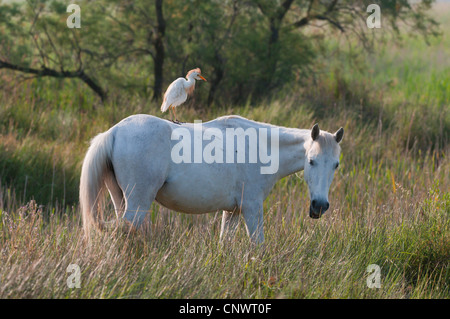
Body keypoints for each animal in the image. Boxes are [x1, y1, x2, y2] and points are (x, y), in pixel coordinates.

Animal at [79, 116, 342, 244]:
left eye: (336, 165)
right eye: (311, 161)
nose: (319, 206)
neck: (261, 146)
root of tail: (114, 131)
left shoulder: (232, 211)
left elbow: (224, 243)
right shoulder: (252, 208)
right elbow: (258, 245)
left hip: (122, 201)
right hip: (137, 205)